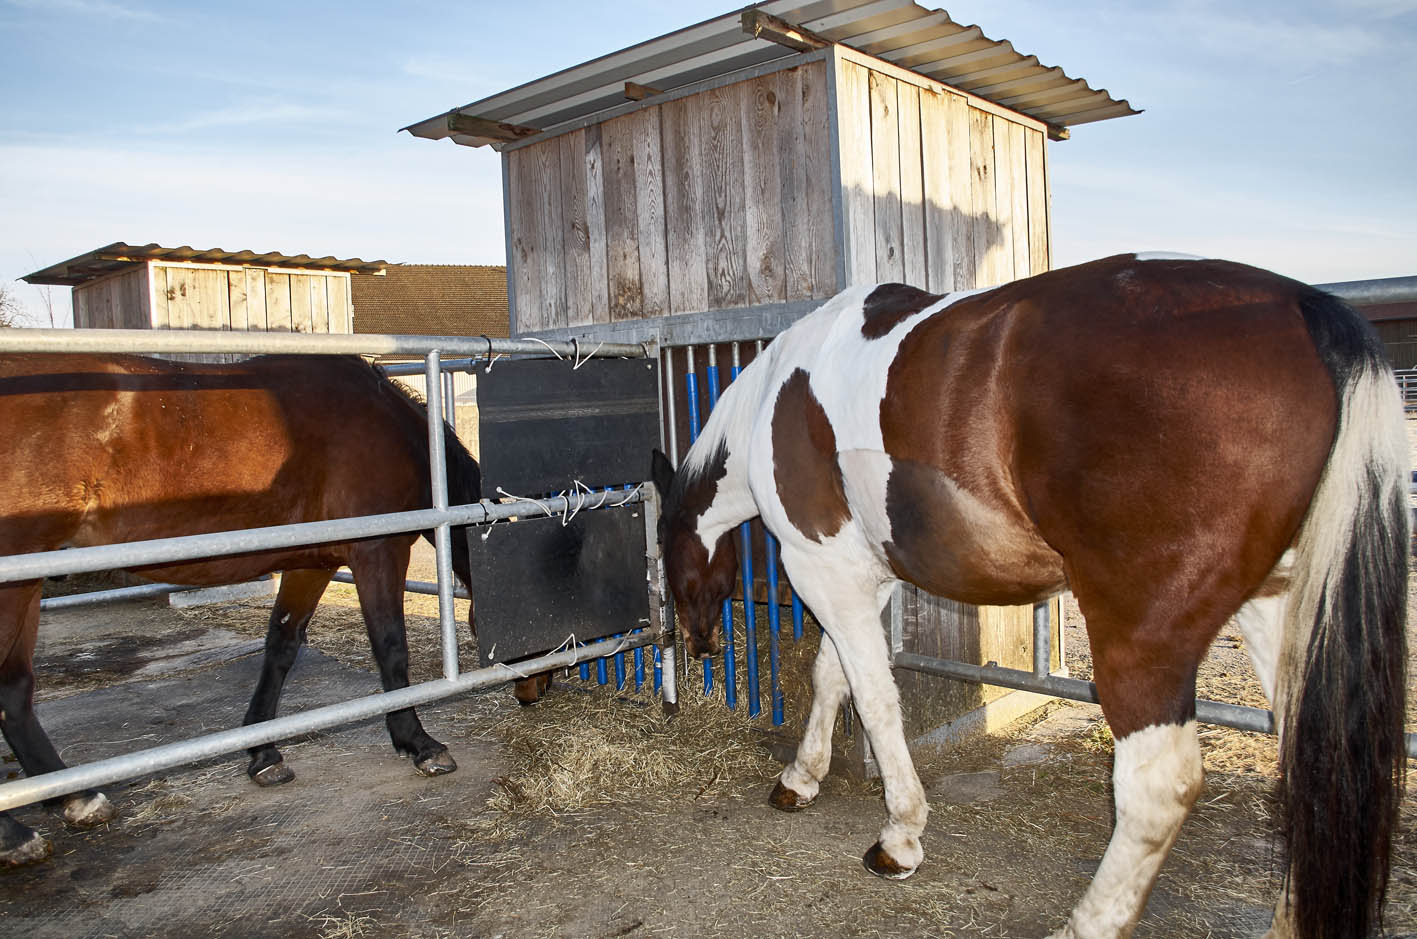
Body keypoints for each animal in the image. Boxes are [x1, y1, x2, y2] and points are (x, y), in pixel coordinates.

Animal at [0, 356, 484, 872]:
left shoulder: (311, 563)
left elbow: (281, 647)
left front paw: (264, 754)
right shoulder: (377, 551)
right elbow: (391, 650)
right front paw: (419, 743)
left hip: (26, 585)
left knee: (15, 692)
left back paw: (75, 800)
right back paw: (16, 834)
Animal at [651, 252, 1405, 939]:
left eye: (667, 556)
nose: (697, 643)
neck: (777, 397)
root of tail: (1307, 310)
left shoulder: (822, 570)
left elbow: (871, 699)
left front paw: (899, 836)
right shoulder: (859, 576)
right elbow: (833, 675)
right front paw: (801, 780)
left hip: (1140, 635)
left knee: (1156, 788)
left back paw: (1087, 923)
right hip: (1280, 613)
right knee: (1314, 767)